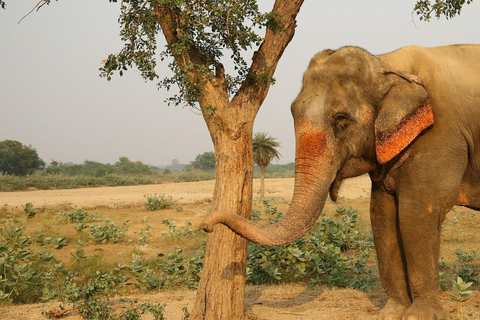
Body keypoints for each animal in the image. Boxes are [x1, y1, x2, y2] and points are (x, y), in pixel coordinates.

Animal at [201, 45, 480, 320]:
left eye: (342, 120)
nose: (206, 225)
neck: (387, 64)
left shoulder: (441, 135)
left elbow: (417, 214)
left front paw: (420, 316)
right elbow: (382, 215)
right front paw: (392, 313)